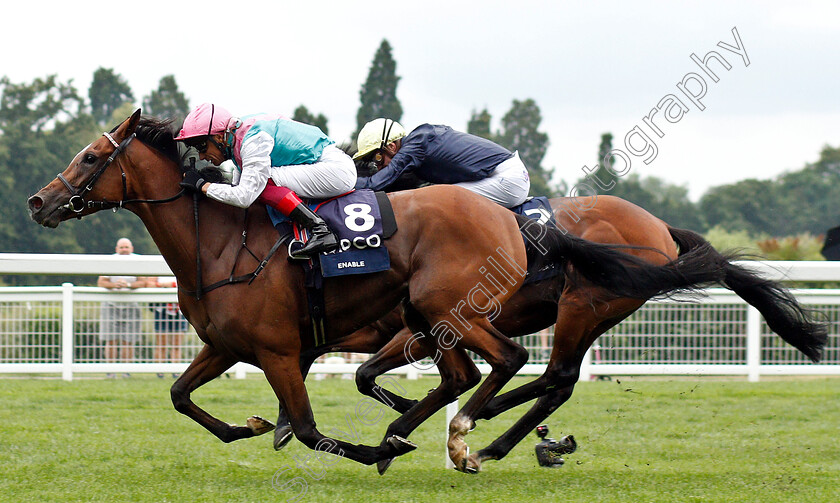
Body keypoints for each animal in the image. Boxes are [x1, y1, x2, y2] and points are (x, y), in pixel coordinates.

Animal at [26, 110, 712, 468]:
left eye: (91, 158)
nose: (38, 201)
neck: (219, 241)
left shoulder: (282, 350)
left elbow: (310, 425)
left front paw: (366, 445)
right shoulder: (227, 346)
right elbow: (179, 396)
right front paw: (252, 426)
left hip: (505, 308)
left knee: (528, 367)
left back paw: (474, 436)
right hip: (443, 316)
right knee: (504, 376)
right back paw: (469, 434)